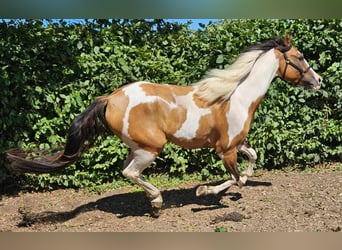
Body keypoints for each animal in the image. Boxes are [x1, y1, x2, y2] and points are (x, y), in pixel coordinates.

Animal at [8, 34, 324, 216]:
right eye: (299, 57)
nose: (319, 80)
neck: (235, 96)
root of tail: (110, 98)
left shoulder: (236, 143)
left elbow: (253, 158)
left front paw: (245, 180)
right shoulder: (225, 150)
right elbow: (233, 178)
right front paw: (203, 192)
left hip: (137, 147)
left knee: (128, 170)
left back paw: (154, 202)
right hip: (151, 147)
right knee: (129, 172)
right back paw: (157, 202)